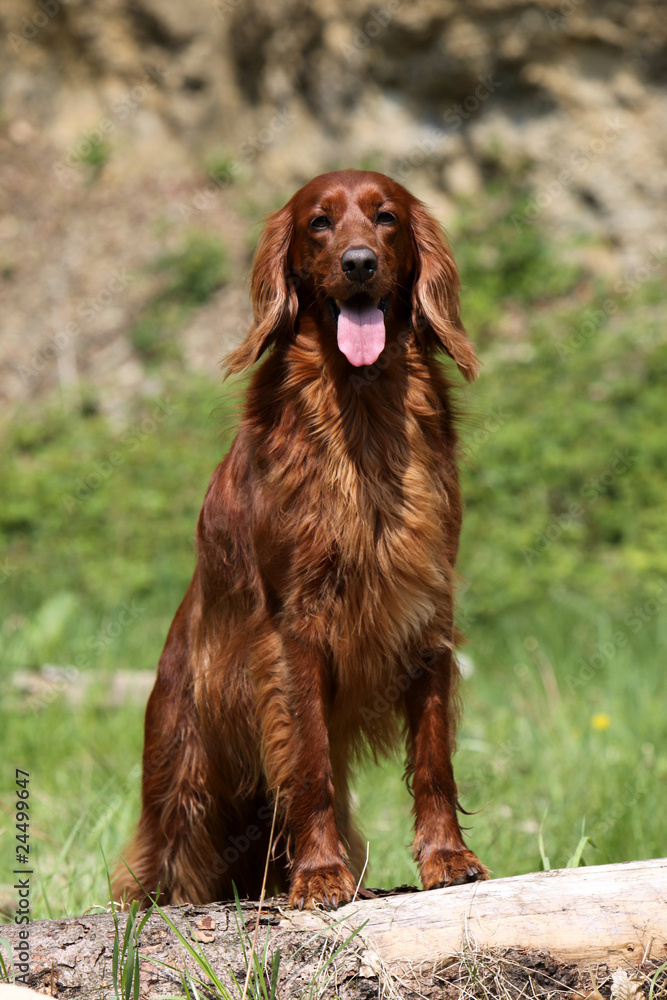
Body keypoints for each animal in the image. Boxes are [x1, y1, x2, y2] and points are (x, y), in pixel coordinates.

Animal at [115, 170, 488, 908]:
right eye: (319, 222)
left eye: (385, 217)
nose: (359, 264)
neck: (362, 411)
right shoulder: (297, 628)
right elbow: (309, 761)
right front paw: (318, 875)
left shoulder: (427, 613)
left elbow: (434, 759)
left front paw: (446, 856)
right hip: (185, 781)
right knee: (162, 862)